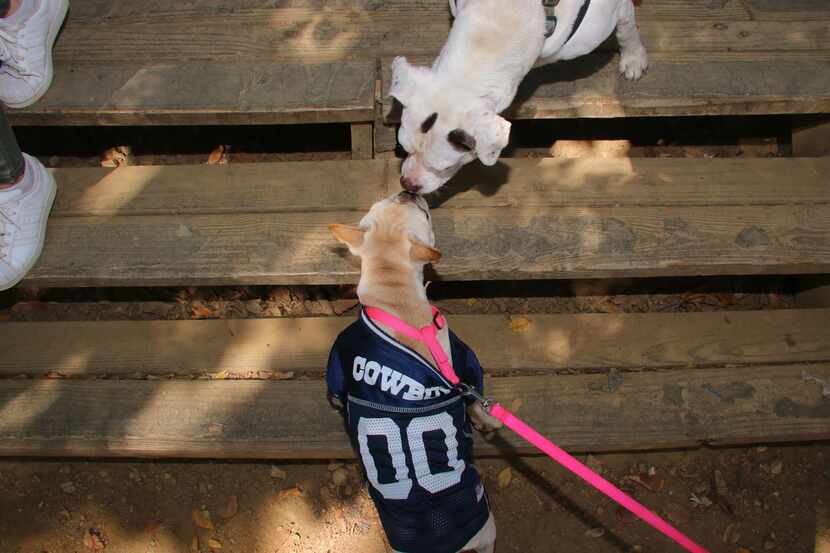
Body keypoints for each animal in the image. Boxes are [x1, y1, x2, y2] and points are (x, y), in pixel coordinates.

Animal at [330, 191, 500, 552]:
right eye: (424, 213)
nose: (407, 190)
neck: (396, 299)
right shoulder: (464, 364)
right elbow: (476, 396)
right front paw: (488, 418)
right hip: (487, 528)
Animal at [390, 0, 648, 194]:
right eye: (403, 146)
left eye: (443, 167)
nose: (407, 184)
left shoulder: (611, 12)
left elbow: (627, 27)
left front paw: (634, 57)